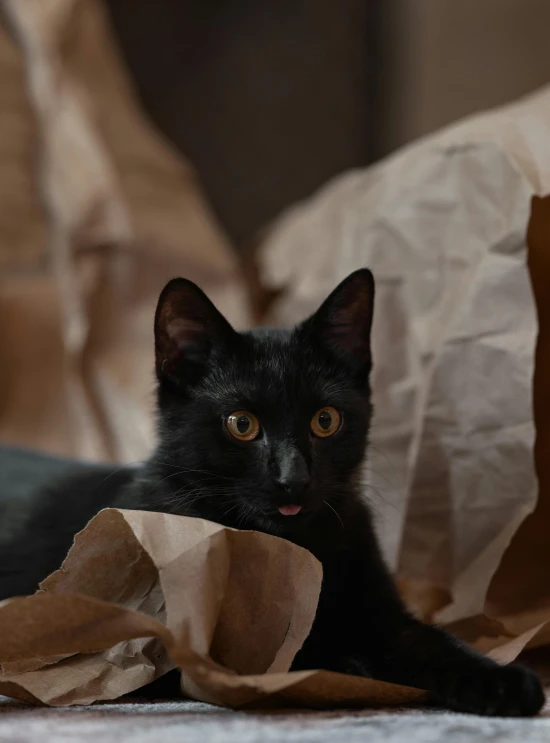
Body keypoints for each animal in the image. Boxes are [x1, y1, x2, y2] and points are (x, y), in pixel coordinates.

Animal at [0, 272, 544, 716]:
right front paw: (345, 661)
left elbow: (432, 640)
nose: (293, 477)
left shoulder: (385, 612)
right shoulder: (146, 641)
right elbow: (278, 652)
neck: (298, 549)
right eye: (242, 424)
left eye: (326, 420)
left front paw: (501, 680)